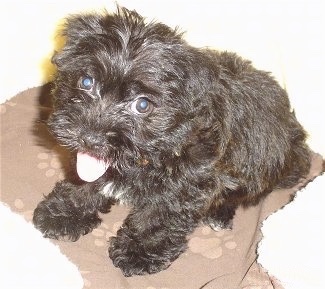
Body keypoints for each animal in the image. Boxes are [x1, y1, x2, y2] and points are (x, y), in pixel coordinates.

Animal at [32, 7, 308, 276]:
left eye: (142, 105)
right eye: (86, 82)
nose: (90, 138)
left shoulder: (187, 180)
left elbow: (159, 214)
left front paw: (139, 251)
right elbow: (86, 181)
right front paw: (64, 212)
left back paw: (219, 213)